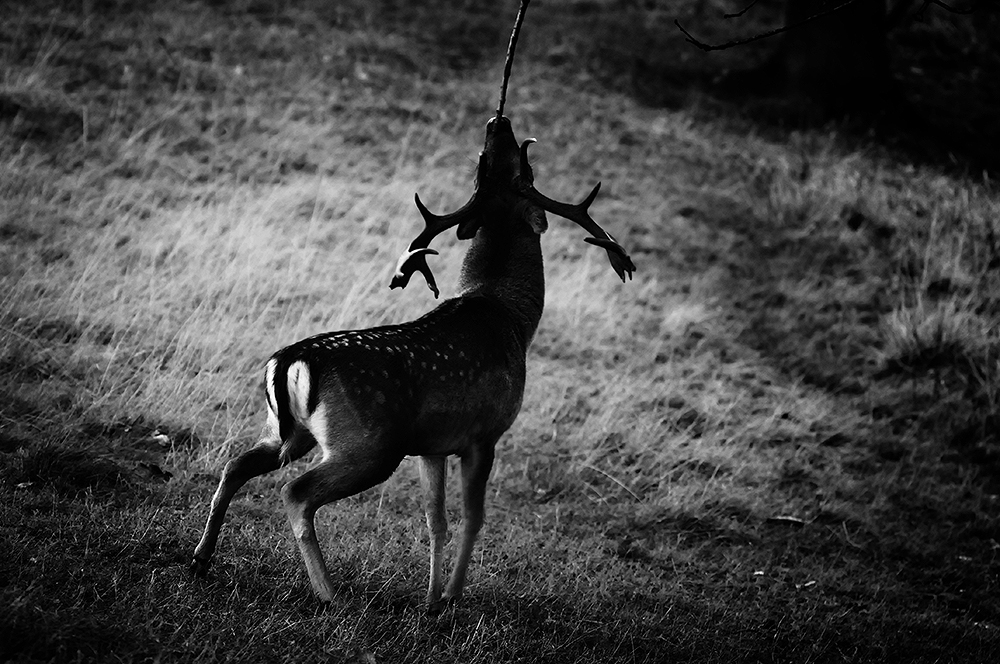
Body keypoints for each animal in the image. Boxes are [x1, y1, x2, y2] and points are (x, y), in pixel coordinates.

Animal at [190, 0, 634, 612]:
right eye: (525, 173)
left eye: (497, 166)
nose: (498, 125)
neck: (511, 317)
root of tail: (292, 361)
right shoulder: (484, 431)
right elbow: (473, 518)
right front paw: (450, 601)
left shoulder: (433, 445)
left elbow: (435, 519)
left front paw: (428, 598)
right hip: (369, 442)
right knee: (296, 492)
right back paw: (331, 595)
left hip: (290, 430)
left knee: (236, 463)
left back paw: (201, 559)